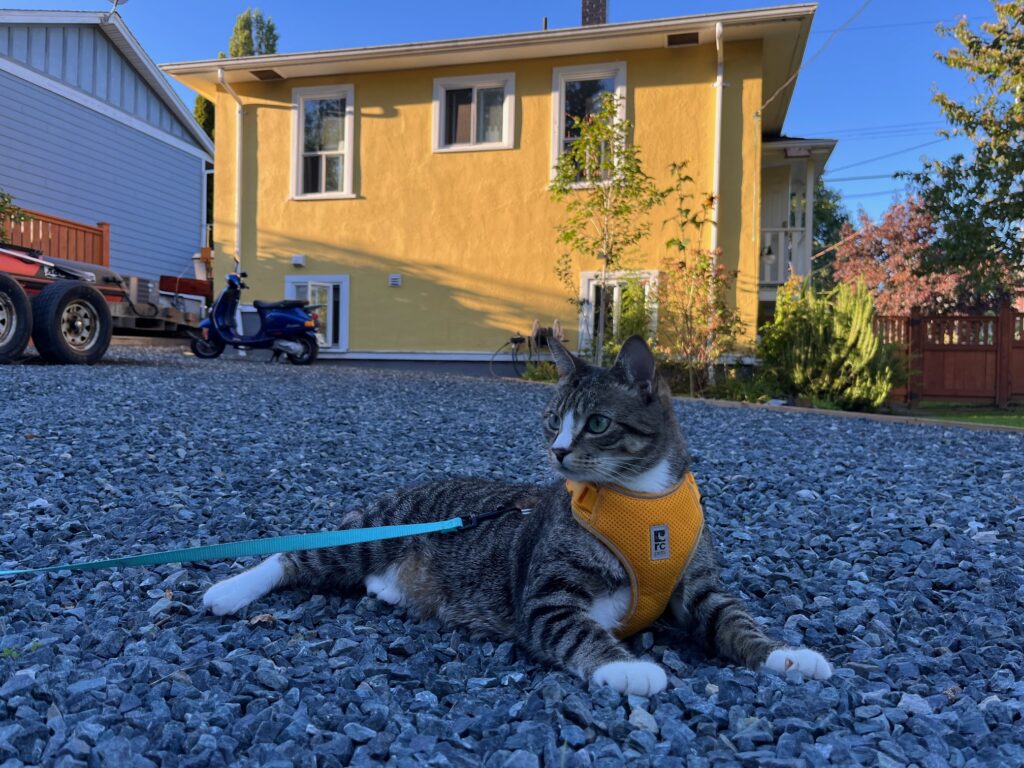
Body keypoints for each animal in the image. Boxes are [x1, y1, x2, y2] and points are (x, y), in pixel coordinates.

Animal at [201, 335, 831, 696]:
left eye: (596, 423)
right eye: (552, 419)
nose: (557, 451)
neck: (641, 501)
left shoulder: (698, 587)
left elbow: (736, 621)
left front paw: (788, 655)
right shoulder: (547, 594)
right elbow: (575, 628)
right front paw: (626, 668)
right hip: (371, 532)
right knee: (295, 557)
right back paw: (229, 591)